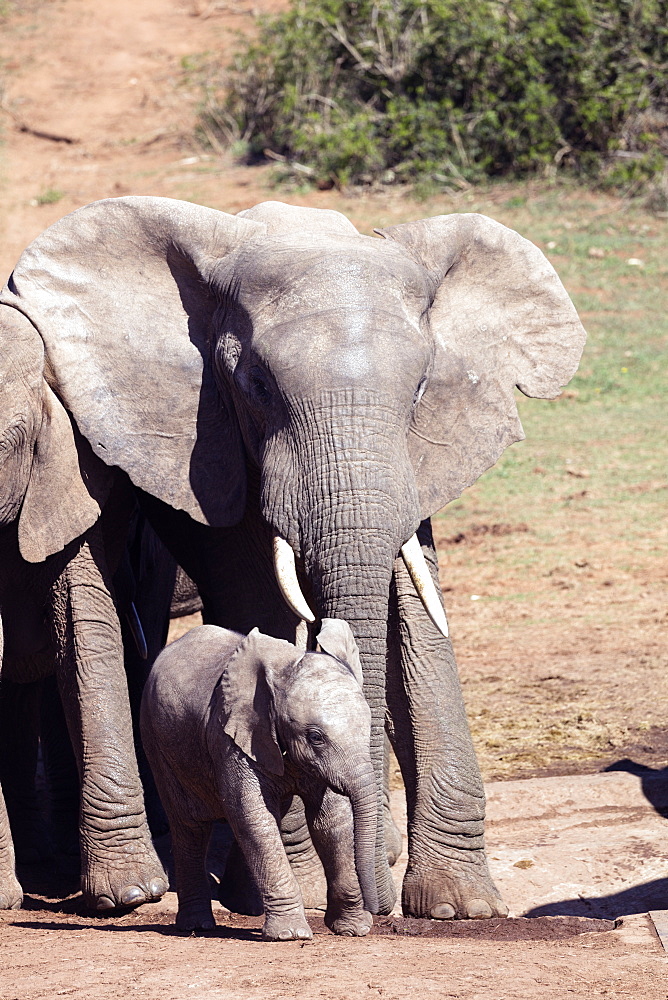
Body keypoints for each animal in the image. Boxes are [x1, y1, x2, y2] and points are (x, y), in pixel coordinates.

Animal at [141, 616, 378, 936]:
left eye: (367, 727)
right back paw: (198, 926)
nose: (376, 911)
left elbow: (331, 821)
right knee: (190, 826)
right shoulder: (230, 736)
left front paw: (353, 929)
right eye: (315, 737)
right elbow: (252, 813)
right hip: (157, 742)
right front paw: (290, 934)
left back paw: (248, 909)